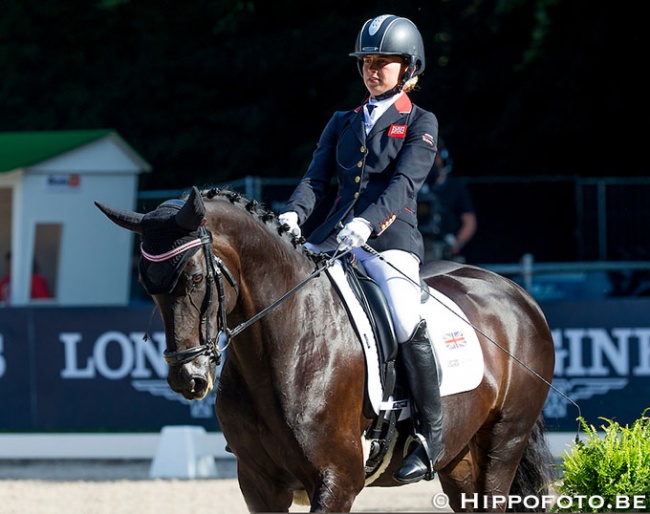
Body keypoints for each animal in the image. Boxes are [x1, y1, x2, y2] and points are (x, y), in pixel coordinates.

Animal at [95, 186, 552, 510]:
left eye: (193, 278)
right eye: (147, 287)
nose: (186, 379)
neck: (288, 343)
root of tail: (515, 292)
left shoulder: (337, 481)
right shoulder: (259, 485)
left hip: (503, 444)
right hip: (460, 460)